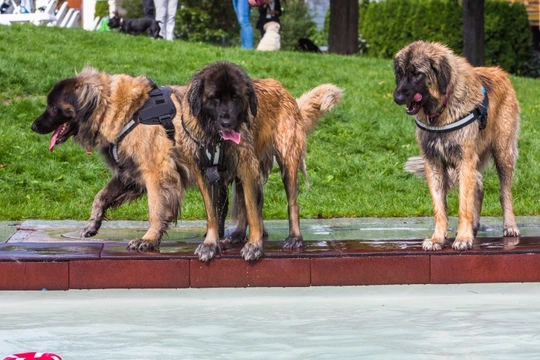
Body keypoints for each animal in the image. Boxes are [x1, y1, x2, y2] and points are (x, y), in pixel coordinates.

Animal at [179, 62, 344, 262]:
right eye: (214, 98)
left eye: (236, 97)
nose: (227, 123)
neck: (216, 140)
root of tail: (283, 90)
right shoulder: (205, 173)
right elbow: (213, 213)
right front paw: (210, 244)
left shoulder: (247, 166)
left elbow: (252, 211)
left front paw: (255, 246)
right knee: (244, 202)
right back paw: (238, 234)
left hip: (287, 161)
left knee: (292, 204)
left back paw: (295, 237)